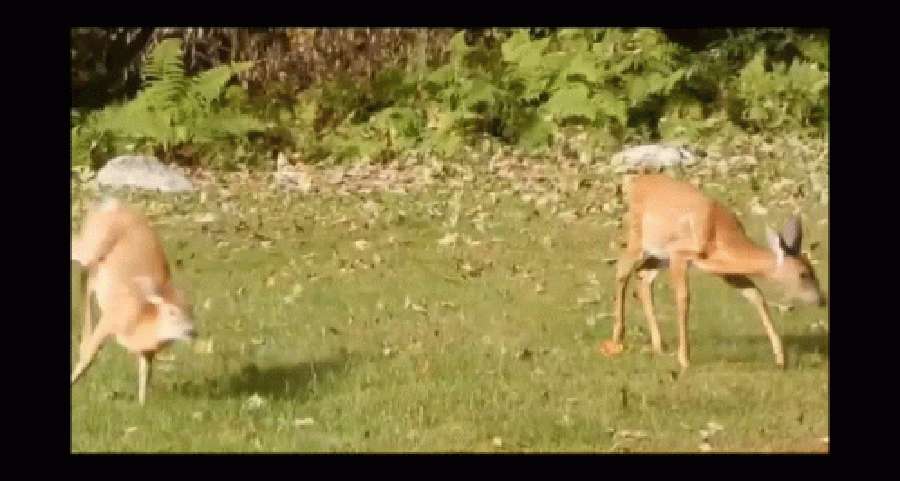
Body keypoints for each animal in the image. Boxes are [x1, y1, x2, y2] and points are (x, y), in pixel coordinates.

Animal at [71, 198, 196, 405]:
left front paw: (142, 403)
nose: (192, 331)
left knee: (87, 279)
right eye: (171, 311)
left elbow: (145, 373)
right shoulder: (110, 318)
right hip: (91, 245)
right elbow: (90, 355)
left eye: (191, 309)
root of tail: (112, 203)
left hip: (97, 264)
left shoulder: (147, 351)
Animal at [608, 174, 826, 372]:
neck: (719, 235)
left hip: (659, 255)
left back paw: (658, 345)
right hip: (638, 238)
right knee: (622, 269)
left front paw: (781, 358)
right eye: (803, 274)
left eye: (813, 269)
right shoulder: (679, 254)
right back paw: (617, 339)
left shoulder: (725, 269)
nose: (822, 300)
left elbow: (755, 294)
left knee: (643, 276)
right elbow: (683, 299)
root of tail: (637, 180)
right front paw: (684, 359)